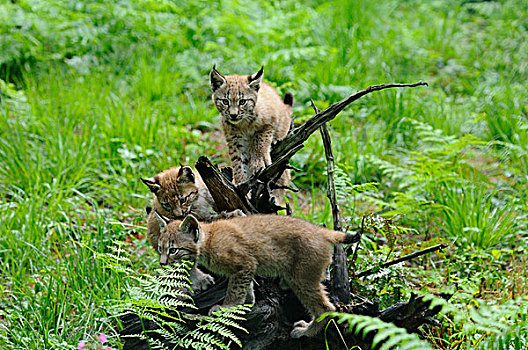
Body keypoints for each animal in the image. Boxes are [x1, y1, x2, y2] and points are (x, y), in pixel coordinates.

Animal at [153, 212, 358, 338]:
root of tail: (320, 231)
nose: (162, 263)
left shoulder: (245, 263)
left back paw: (306, 331)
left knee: (326, 307)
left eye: (173, 250)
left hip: (301, 277)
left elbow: (234, 290)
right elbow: (247, 286)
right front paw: (247, 303)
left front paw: (227, 307)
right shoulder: (248, 267)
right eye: (160, 249)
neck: (207, 239)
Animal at [210, 66, 292, 201]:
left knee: (285, 173)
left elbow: (259, 138)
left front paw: (258, 162)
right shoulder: (234, 140)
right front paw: (240, 184)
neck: (243, 123)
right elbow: (238, 162)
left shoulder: (270, 123)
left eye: (242, 101)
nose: (233, 115)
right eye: (225, 101)